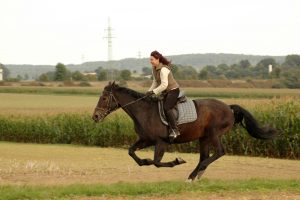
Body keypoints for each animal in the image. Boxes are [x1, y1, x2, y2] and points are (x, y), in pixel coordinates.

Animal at [92, 81, 278, 181]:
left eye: (104, 98)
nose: (95, 117)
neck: (144, 112)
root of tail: (229, 108)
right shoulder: (145, 140)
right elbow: (132, 153)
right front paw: (144, 161)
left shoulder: (161, 142)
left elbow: (157, 162)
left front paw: (177, 160)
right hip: (204, 138)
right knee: (205, 156)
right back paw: (193, 176)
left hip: (214, 134)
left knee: (219, 152)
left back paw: (196, 172)